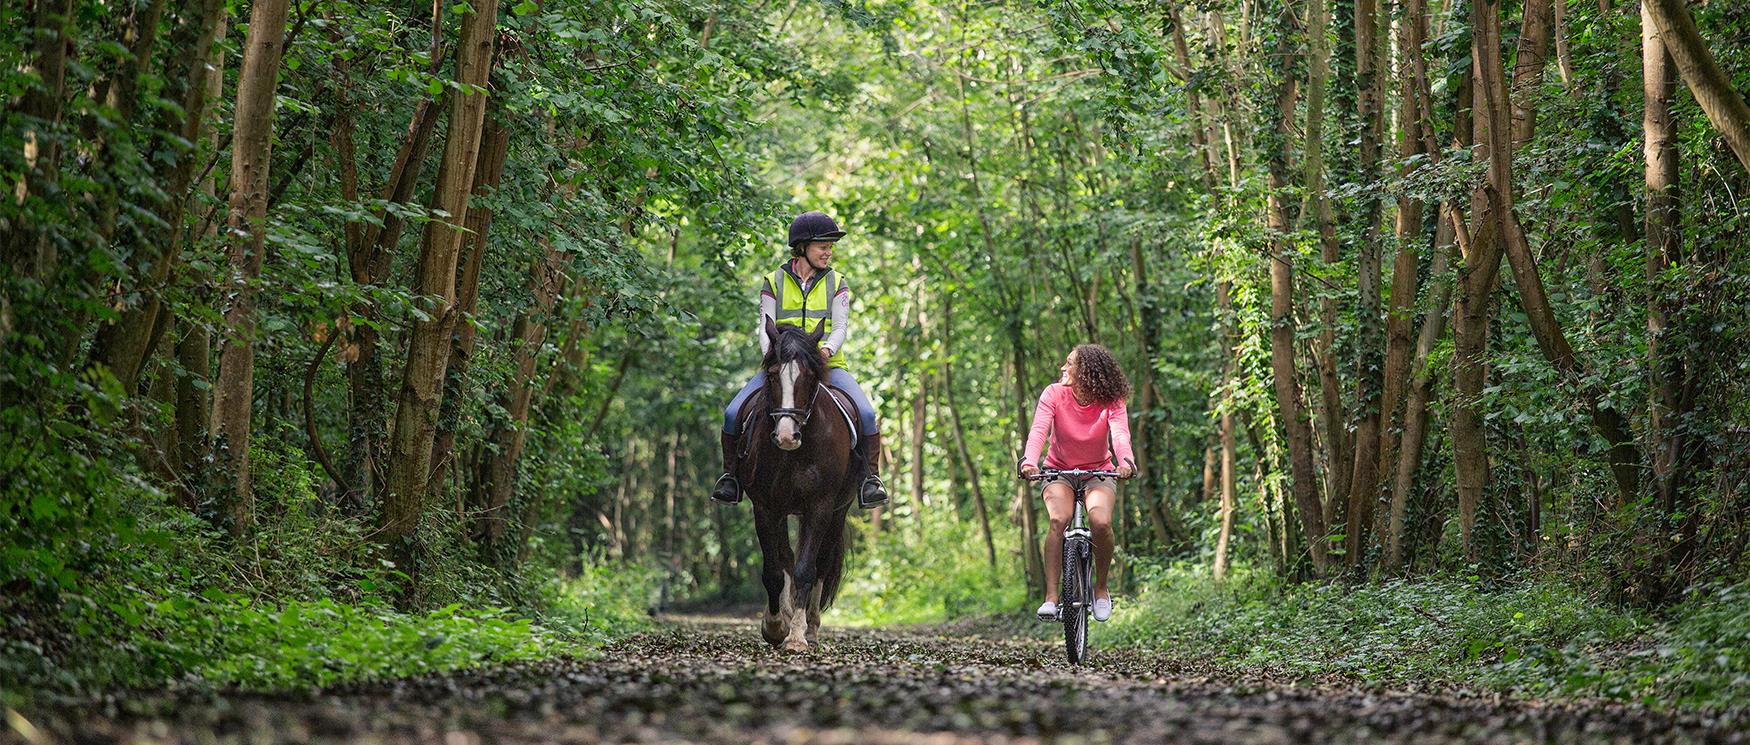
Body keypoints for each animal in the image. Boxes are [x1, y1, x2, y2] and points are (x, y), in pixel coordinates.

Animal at [735, 316, 857, 650]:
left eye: (811, 376)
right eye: (772, 375)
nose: (787, 436)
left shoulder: (820, 506)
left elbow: (806, 570)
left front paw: (797, 636)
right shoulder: (765, 508)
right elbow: (774, 571)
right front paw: (775, 626)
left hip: (838, 512)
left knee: (821, 565)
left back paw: (811, 628)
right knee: (786, 558)